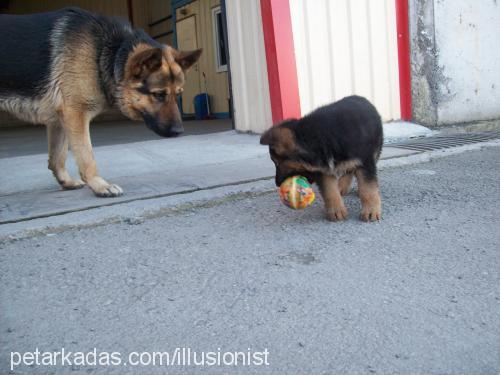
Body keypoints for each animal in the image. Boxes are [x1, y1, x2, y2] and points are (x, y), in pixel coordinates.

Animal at [0, 7, 203, 198]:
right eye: (159, 94)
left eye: (178, 94)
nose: (179, 132)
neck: (107, 50)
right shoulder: (76, 114)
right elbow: (87, 156)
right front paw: (99, 185)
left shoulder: (59, 119)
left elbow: (57, 157)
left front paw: (66, 182)